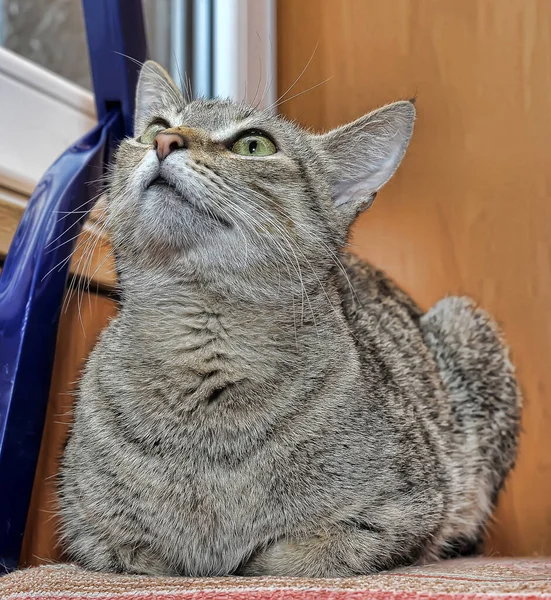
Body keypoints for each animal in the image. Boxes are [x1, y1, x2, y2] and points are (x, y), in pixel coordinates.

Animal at [57, 61, 520, 576]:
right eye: (154, 127)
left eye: (254, 145)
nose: (165, 141)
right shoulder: (96, 538)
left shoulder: (402, 512)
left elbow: (282, 558)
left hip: (466, 325)